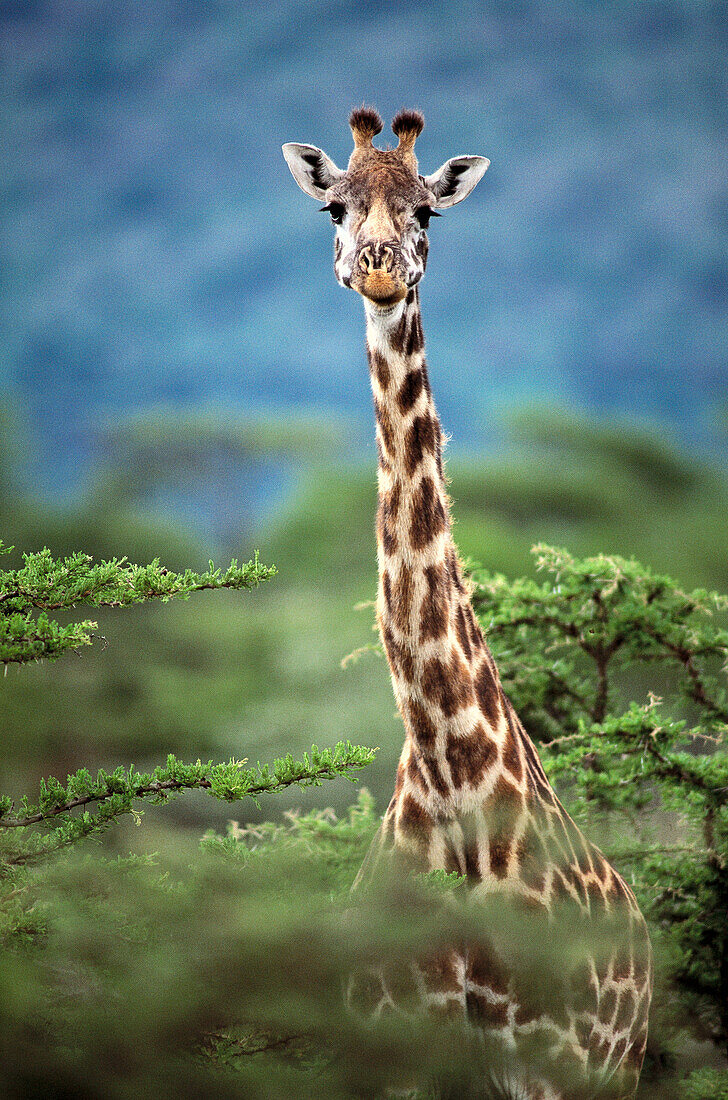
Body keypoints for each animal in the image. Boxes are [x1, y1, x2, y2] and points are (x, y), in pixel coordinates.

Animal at [281, 105, 651, 1100]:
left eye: (427, 213)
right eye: (334, 207)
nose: (377, 265)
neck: (455, 793)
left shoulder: (555, 1064)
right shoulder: (394, 1058)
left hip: (616, 1069)